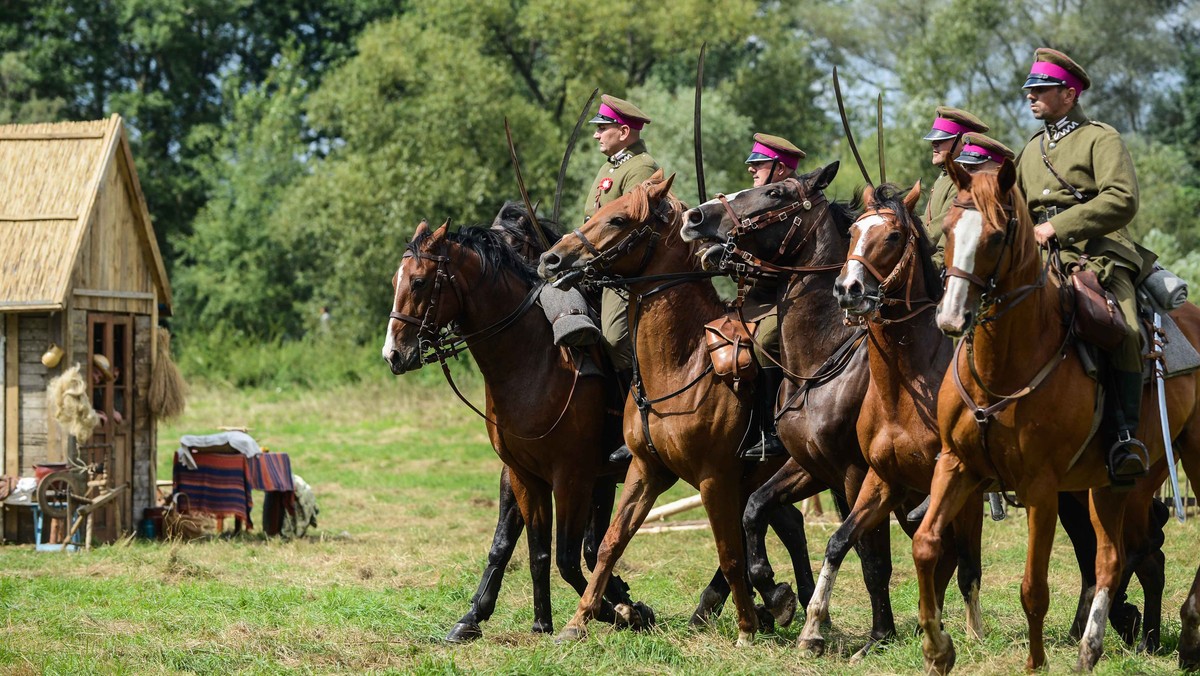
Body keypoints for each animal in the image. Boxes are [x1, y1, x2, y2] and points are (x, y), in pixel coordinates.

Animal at [544, 169, 816, 643]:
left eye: (617, 219)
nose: (552, 259)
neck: (680, 365)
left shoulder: (714, 479)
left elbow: (729, 552)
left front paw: (746, 627)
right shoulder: (645, 471)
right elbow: (611, 543)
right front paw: (579, 621)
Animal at [907, 160, 1200, 672]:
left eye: (995, 236)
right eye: (947, 228)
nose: (950, 317)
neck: (1002, 365)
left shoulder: (1041, 489)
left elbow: (1033, 586)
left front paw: (1036, 662)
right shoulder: (957, 466)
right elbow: (925, 545)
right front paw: (938, 650)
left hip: (1175, 466)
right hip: (1112, 484)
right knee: (1111, 558)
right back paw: (1091, 648)